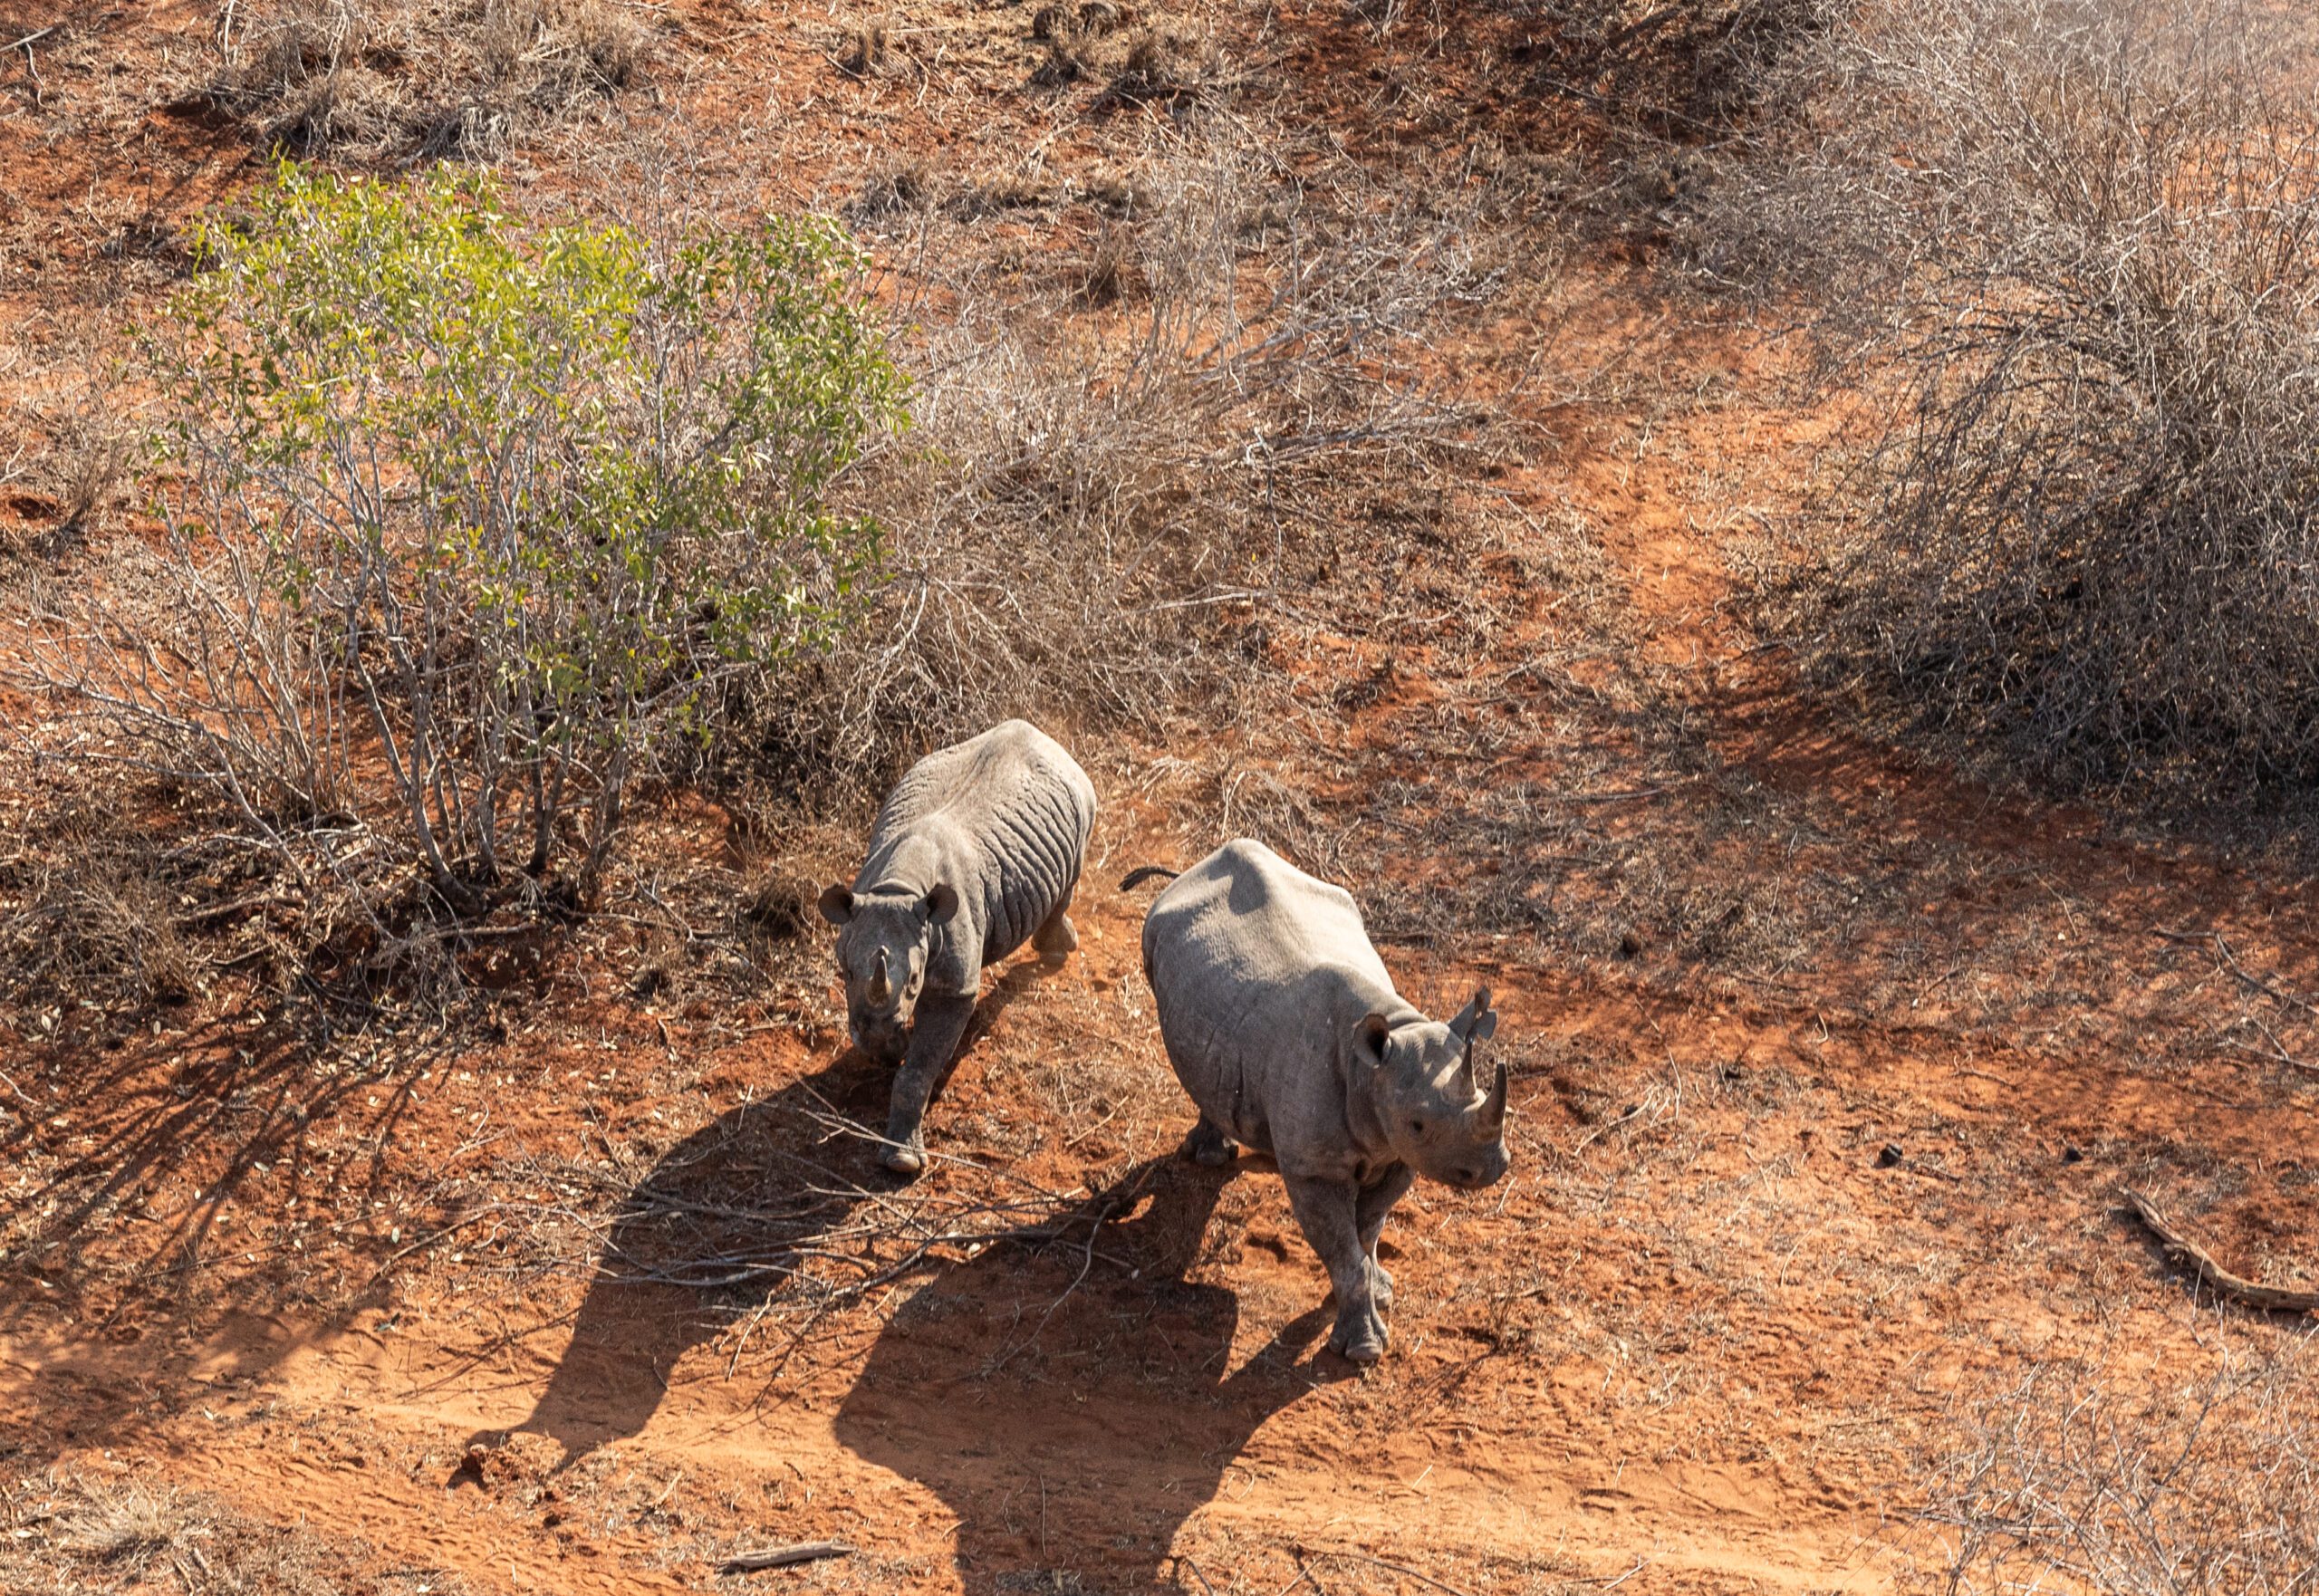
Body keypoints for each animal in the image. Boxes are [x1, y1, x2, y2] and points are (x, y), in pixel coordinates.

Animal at [821, 720, 1097, 1176]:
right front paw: (890, 1046)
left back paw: (1058, 952)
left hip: (1083, 803)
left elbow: (919, 1070)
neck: (899, 888)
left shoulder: (956, 987)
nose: (877, 1025)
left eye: (915, 981)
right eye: (846, 972)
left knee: (1071, 873)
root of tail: (1050, 741)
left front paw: (902, 1164)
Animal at [1127, 838, 1510, 1362]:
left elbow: (1367, 1230)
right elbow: (1343, 1247)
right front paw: (1363, 1351)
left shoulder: (1399, 1154)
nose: (1494, 1166)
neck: (1373, 1069)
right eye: (1418, 1124)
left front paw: (1381, 1291)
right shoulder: (1317, 1167)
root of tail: (1191, 870)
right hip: (1157, 936)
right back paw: (1209, 1158)